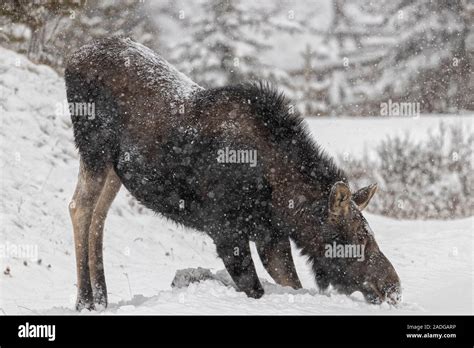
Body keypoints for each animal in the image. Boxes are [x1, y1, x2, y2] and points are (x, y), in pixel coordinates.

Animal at [65, 37, 400, 310]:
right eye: (359, 236)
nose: (393, 287)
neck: (280, 197)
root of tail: (71, 59)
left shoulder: (270, 236)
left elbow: (291, 284)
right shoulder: (226, 231)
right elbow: (255, 290)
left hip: (114, 169)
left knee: (99, 216)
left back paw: (102, 298)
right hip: (94, 149)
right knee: (79, 207)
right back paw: (85, 301)